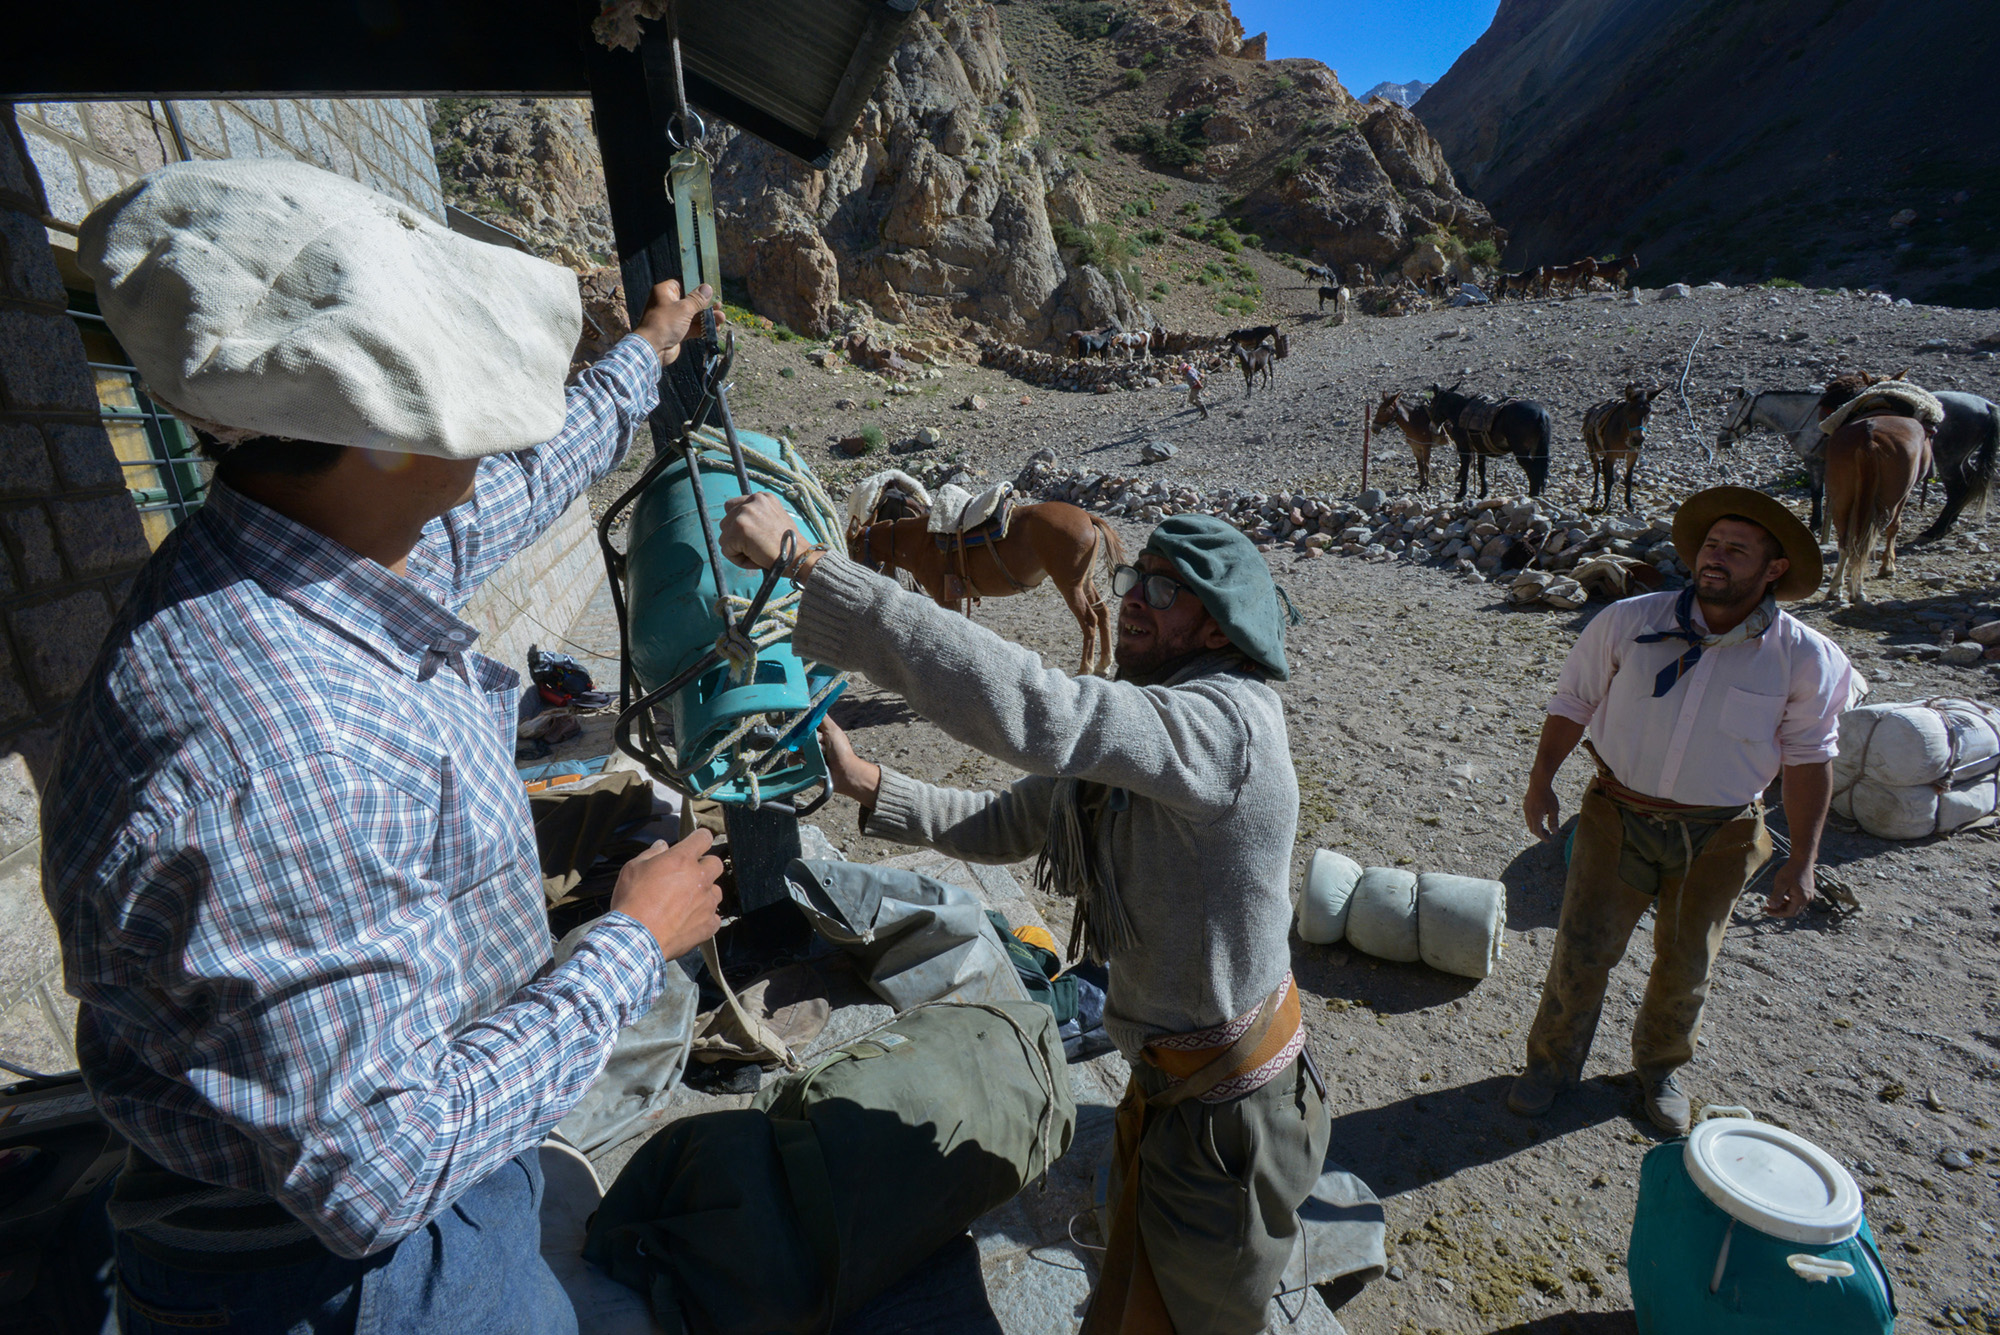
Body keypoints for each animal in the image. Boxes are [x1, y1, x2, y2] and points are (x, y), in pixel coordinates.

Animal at [844, 499, 1128, 671]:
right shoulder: (953, 596)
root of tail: (1087, 516)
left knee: (1089, 620)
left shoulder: (943, 596)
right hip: (1084, 582)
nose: (856, 571)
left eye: (854, 548)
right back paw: (1104, 664)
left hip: (1069, 586)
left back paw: (1086, 668)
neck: (920, 543)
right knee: (1103, 613)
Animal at [1584, 385, 1664, 515]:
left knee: (1603, 465)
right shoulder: (1612, 455)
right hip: (1593, 449)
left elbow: (1628, 478)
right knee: (1597, 468)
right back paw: (1596, 494)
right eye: (1629, 411)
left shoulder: (1633, 454)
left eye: (1649, 412)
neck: (1624, 432)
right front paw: (1606, 504)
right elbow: (1610, 478)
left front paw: (1629, 503)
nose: (1638, 440)